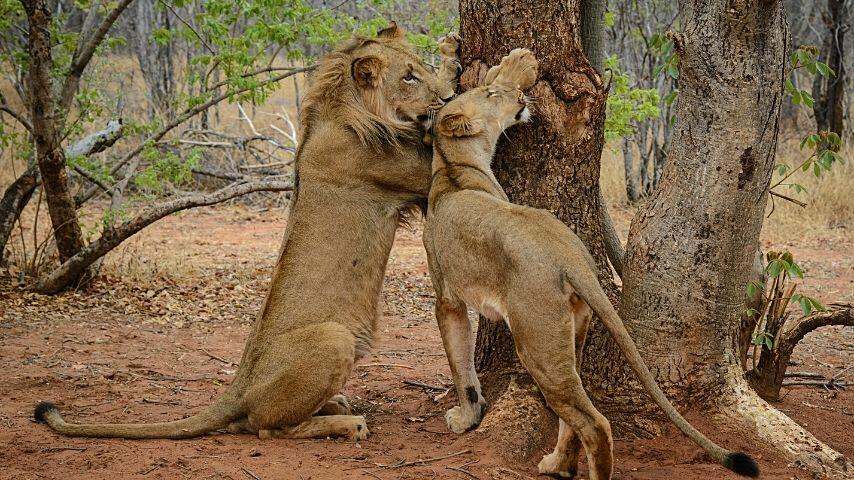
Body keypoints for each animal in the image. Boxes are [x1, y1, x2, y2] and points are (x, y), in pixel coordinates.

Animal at [35, 23, 462, 442]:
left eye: (418, 68)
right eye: (408, 77)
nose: (445, 97)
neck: (343, 107)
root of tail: (238, 387)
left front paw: (451, 57)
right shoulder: (417, 174)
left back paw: (336, 405)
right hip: (334, 339)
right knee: (267, 428)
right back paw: (347, 423)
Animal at [424, 49, 760, 480]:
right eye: (493, 95)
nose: (521, 98)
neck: (451, 166)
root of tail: (572, 257)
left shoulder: (446, 297)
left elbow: (459, 364)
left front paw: (465, 418)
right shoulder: (449, 295)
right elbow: (461, 362)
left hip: (535, 341)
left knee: (594, 422)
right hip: (571, 329)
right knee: (576, 415)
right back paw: (558, 464)